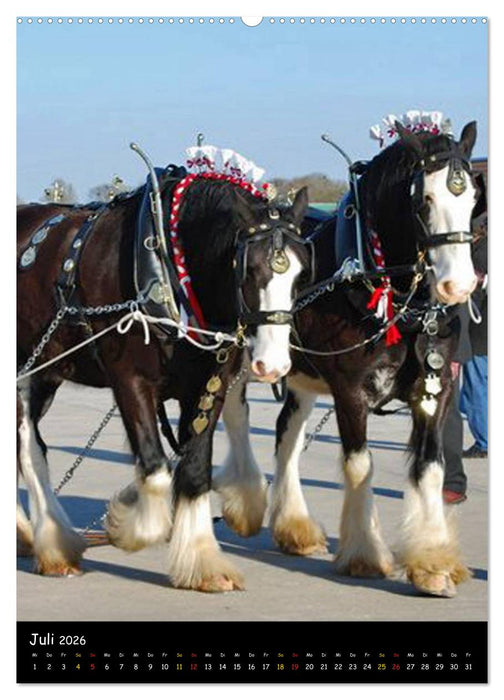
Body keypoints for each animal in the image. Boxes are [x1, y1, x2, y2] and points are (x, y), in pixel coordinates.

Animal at [17, 163, 311, 593]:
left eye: (301, 275)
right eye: (249, 269)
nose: (272, 365)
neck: (169, 269)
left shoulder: (207, 388)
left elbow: (194, 470)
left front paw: (203, 561)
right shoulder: (130, 381)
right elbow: (155, 469)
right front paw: (125, 524)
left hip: (47, 375)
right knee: (29, 450)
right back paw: (54, 545)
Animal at [214, 121, 480, 597]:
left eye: (471, 198)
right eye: (425, 200)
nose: (459, 285)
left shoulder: (436, 390)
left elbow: (430, 468)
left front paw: (433, 561)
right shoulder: (350, 390)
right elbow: (360, 465)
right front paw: (365, 554)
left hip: (297, 372)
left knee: (286, 434)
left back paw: (294, 526)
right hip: (247, 358)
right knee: (238, 416)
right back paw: (246, 501)